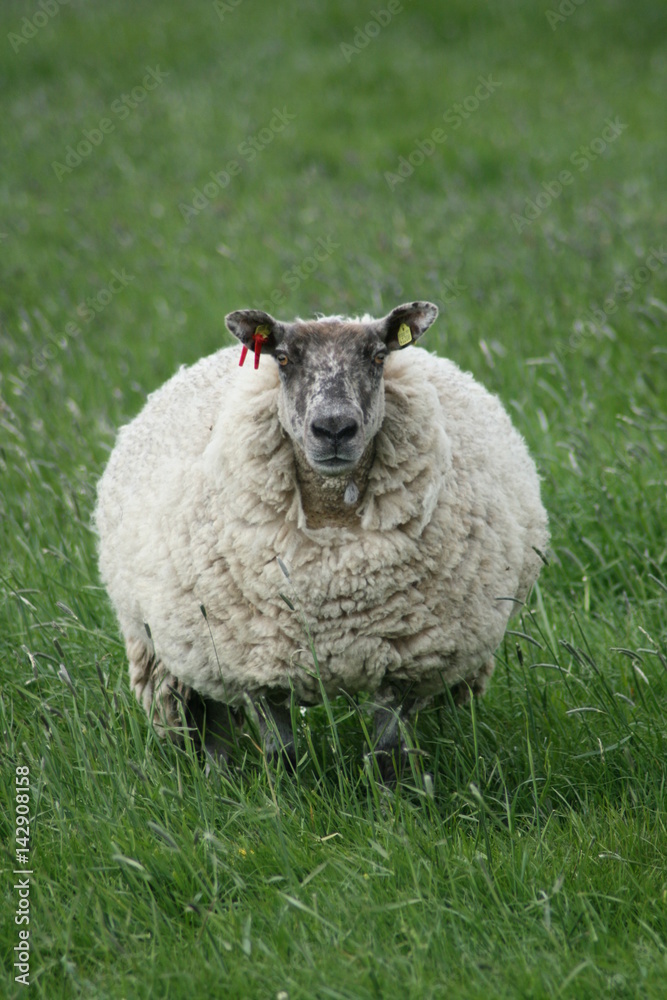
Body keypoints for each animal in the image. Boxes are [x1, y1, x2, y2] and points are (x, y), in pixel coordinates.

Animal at [95, 300, 549, 782]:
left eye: (378, 357)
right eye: (283, 359)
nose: (334, 429)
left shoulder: (408, 662)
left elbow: (387, 756)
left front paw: (392, 800)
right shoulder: (255, 665)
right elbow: (282, 753)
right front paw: (287, 796)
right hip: (187, 651)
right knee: (211, 723)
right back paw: (219, 781)